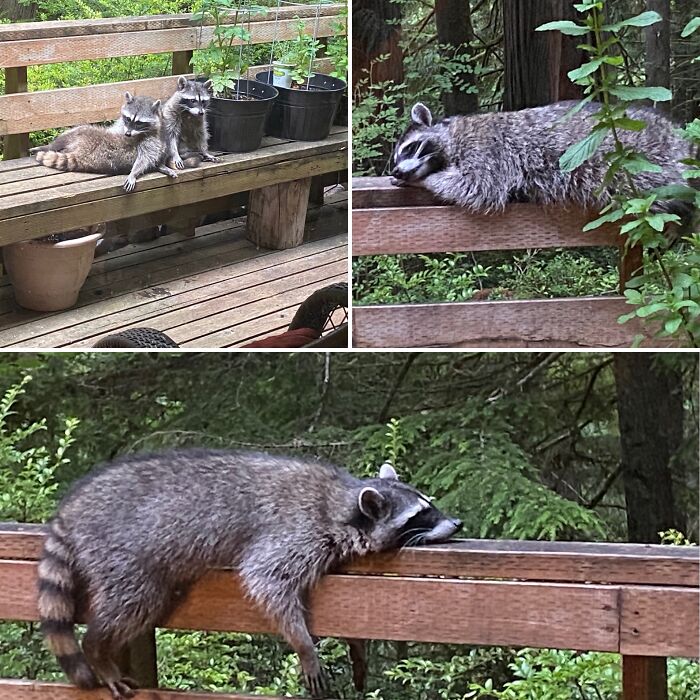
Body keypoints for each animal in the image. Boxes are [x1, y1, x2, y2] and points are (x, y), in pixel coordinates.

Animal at [34, 93, 178, 192]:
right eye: (128, 118)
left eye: (139, 122)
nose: (127, 134)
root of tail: (81, 154)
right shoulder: (121, 126)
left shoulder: (151, 141)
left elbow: (146, 158)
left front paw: (136, 172)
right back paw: (49, 145)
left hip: (86, 137)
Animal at [37, 449, 461, 700]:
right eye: (420, 515)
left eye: (430, 505)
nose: (457, 523)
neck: (342, 502)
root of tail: (71, 507)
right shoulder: (294, 531)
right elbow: (266, 580)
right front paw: (304, 644)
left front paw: (356, 648)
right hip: (120, 552)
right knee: (133, 603)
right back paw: (98, 647)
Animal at [391, 101, 693, 221]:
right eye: (395, 157)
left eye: (410, 148)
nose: (397, 171)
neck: (453, 136)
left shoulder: (487, 148)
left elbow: (478, 186)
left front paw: (425, 180)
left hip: (643, 163)